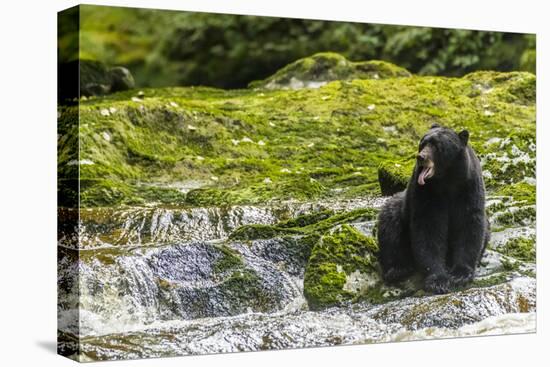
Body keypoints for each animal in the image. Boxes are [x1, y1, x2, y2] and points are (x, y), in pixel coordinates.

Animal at [380, 125, 492, 294]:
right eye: (423, 143)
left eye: (437, 146)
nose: (420, 157)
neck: (446, 181)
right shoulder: (426, 192)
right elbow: (428, 229)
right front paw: (438, 280)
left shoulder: (468, 187)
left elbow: (469, 224)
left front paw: (460, 274)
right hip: (399, 210)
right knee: (390, 226)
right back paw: (397, 269)